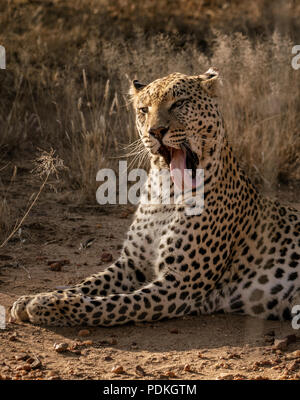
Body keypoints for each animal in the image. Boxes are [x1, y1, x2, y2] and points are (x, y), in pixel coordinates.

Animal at [9, 68, 300, 324]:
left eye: (179, 103)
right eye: (143, 110)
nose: (156, 132)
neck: (166, 193)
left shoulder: (180, 284)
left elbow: (113, 304)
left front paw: (49, 305)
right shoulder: (131, 264)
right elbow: (87, 284)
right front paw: (32, 299)